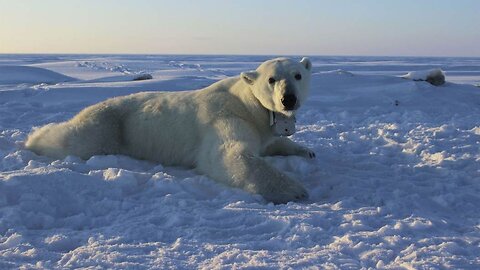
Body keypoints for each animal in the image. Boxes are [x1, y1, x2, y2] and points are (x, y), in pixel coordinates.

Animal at [25, 57, 316, 205]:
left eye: (297, 75)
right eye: (271, 79)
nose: (288, 99)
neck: (247, 103)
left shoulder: (261, 126)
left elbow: (272, 143)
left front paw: (307, 151)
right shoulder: (226, 118)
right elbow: (229, 155)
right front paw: (296, 190)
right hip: (109, 125)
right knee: (74, 139)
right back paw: (33, 139)